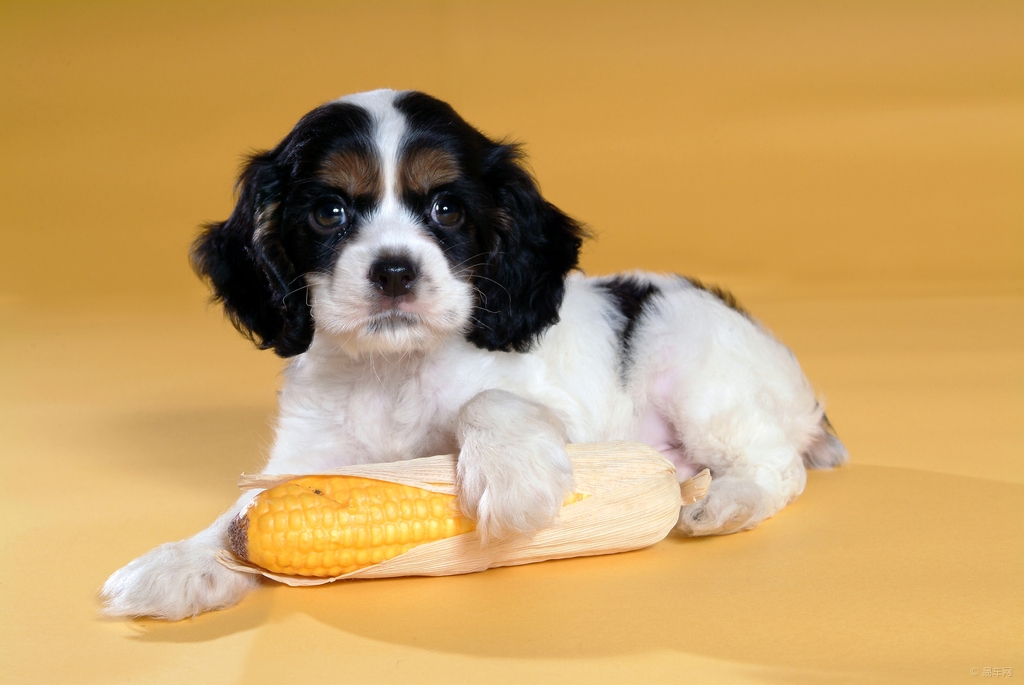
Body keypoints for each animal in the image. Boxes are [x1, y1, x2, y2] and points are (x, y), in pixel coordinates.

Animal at [101, 88, 847, 618]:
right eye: (329, 213)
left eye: (448, 210)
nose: (394, 271)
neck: (395, 369)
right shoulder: (309, 459)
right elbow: (246, 517)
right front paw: (182, 563)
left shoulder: (573, 425)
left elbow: (489, 400)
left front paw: (512, 476)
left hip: (699, 379)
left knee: (778, 467)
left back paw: (725, 504)